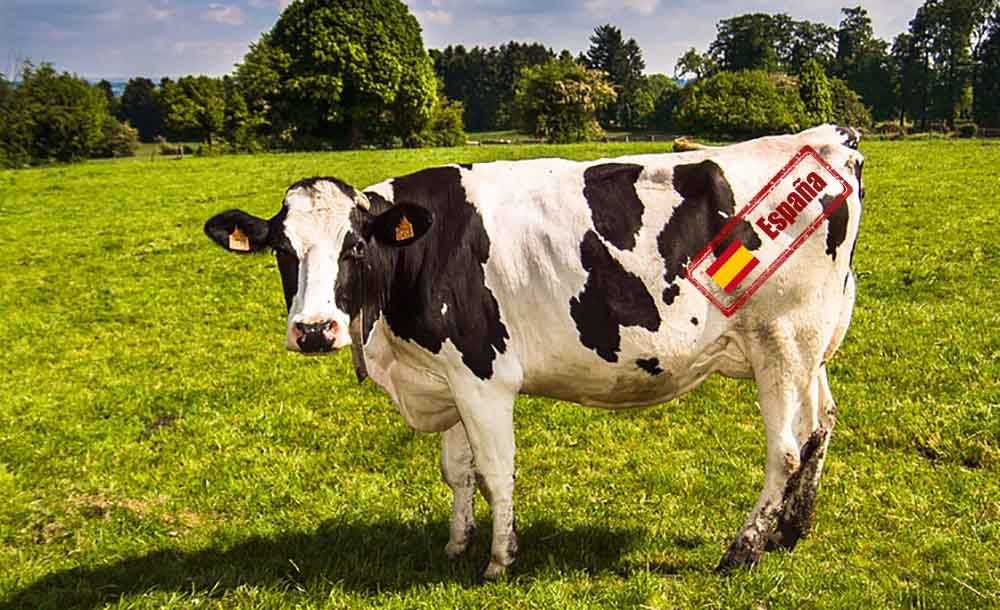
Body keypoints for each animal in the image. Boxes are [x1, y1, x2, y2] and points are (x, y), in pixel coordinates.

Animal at [203, 125, 864, 579]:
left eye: (355, 247)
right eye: (283, 251)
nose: (314, 330)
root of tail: (829, 138)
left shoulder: (482, 376)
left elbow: (496, 471)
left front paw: (499, 559)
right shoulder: (445, 376)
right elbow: (458, 471)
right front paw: (456, 543)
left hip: (781, 339)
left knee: (785, 449)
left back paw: (745, 548)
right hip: (808, 345)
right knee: (820, 425)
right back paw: (792, 530)